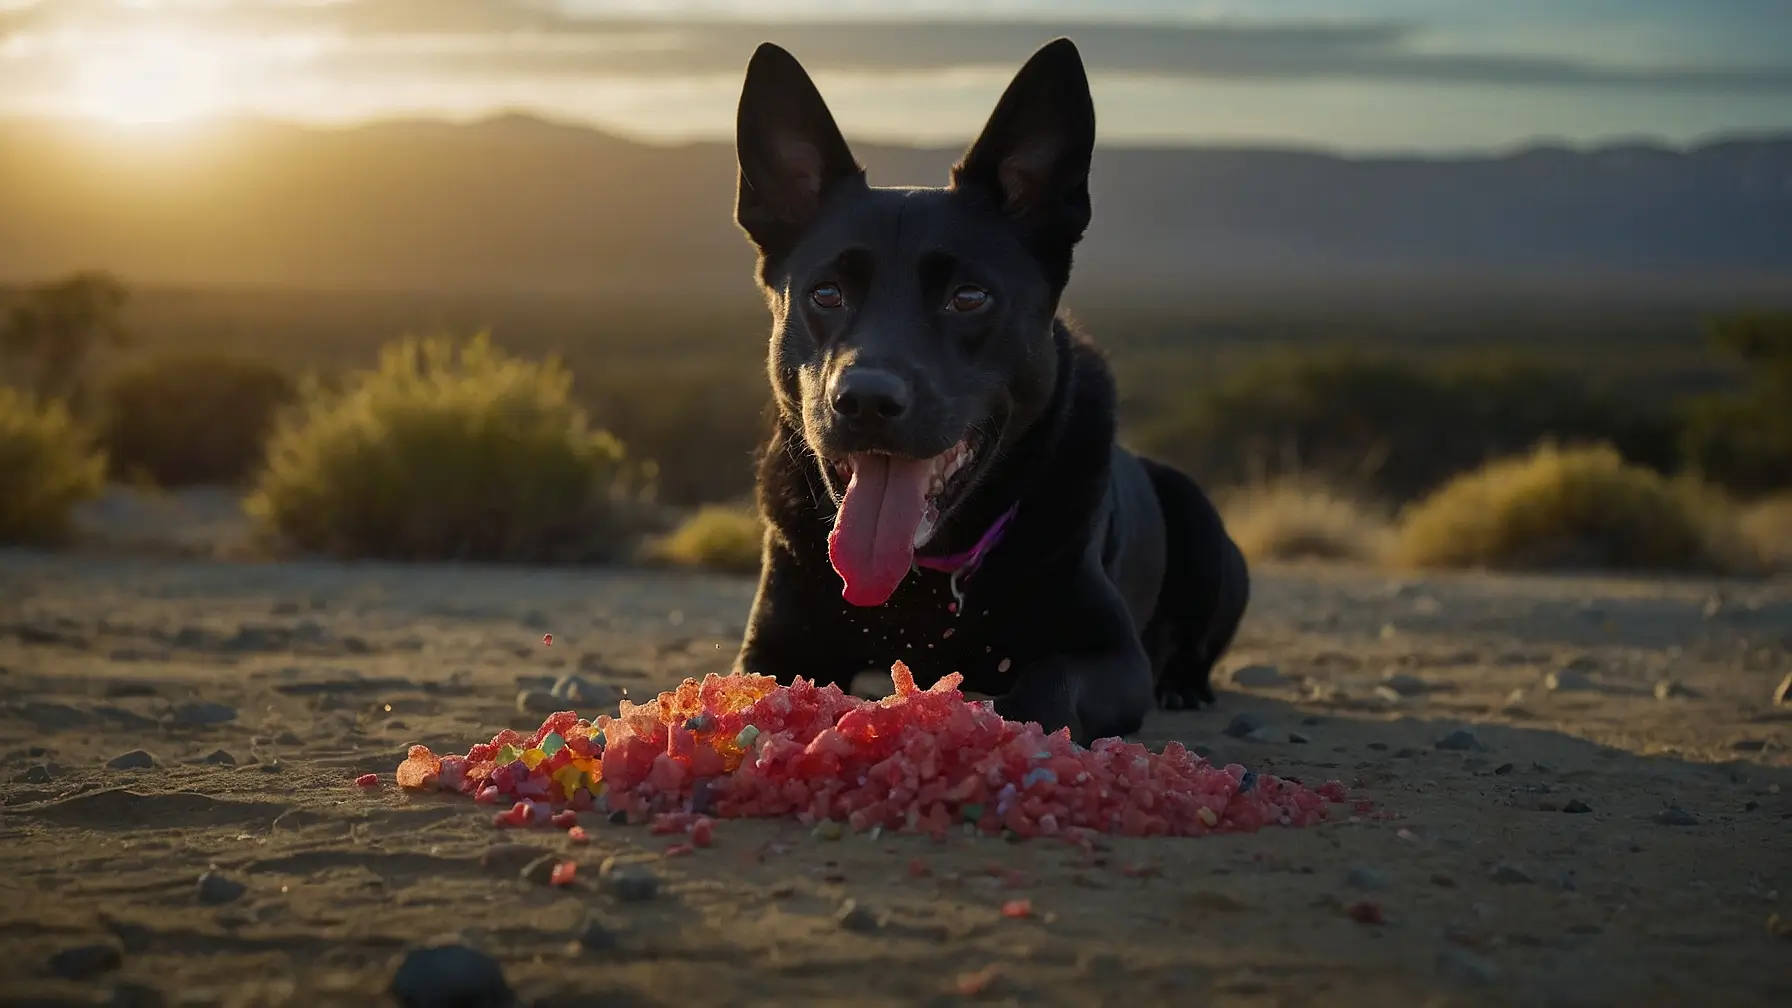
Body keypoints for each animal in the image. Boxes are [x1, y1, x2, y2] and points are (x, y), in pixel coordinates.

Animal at [727, 37, 1247, 746]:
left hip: (1205, 529)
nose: (864, 400)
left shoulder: (1111, 654)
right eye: (825, 294)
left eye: (968, 298)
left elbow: (1046, 684)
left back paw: (1185, 687)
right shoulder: (772, 647)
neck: (923, 583)